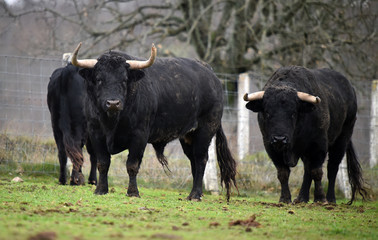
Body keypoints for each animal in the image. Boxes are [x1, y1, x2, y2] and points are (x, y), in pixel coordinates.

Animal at [68, 42, 236, 201]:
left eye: (124, 80)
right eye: (99, 79)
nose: (113, 103)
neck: (112, 122)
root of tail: (210, 74)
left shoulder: (139, 135)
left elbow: (132, 165)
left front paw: (133, 192)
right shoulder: (96, 133)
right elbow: (102, 163)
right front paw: (101, 190)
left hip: (206, 129)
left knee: (201, 159)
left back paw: (195, 195)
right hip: (188, 136)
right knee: (193, 161)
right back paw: (194, 194)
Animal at [244, 66, 368, 204]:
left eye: (293, 113)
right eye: (267, 112)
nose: (280, 139)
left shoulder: (319, 145)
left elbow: (317, 171)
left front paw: (320, 198)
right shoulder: (271, 147)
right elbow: (283, 173)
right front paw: (285, 198)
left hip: (342, 139)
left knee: (332, 168)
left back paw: (330, 199)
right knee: (307, 170)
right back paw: (302, 198)